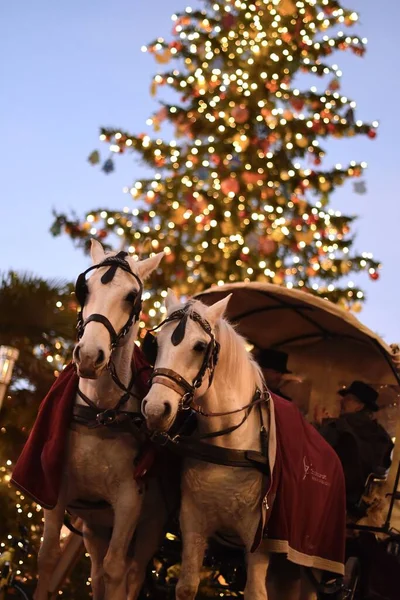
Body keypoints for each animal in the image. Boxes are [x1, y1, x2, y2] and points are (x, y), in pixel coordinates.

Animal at [34, 240, 164, 600]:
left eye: (131, 296)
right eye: (85, 288)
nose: (90, 356)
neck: (99, 414)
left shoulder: (130, 503)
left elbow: (116, 569)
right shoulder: (56, 490)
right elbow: (47, 559)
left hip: (150, 527)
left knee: (132, 573)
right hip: (94, 525)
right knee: (96, 572)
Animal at [142, 292, 342, 600]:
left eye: (200, 346)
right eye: (157, 343)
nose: (154, 409)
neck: (230, 444)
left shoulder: (259, 538)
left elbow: (255, 593)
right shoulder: (193, 523)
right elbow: (186, 587)